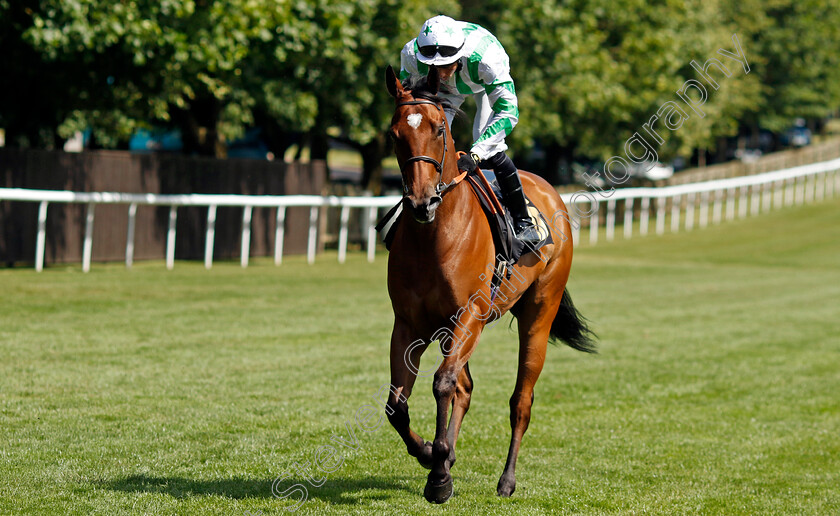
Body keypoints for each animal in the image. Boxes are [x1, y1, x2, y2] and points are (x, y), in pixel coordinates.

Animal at [384, 65, 592, 504]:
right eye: (394, 133)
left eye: (439, 129)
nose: (422, 202)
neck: (435, 238)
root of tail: (550, 191)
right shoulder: (409, 324)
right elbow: (398, 403)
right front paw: (431, 455)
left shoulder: (471, 314)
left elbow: (442, 383)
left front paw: (439, 474)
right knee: (464, 387)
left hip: (538, 314)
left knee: (521, 401)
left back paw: (506, 480)